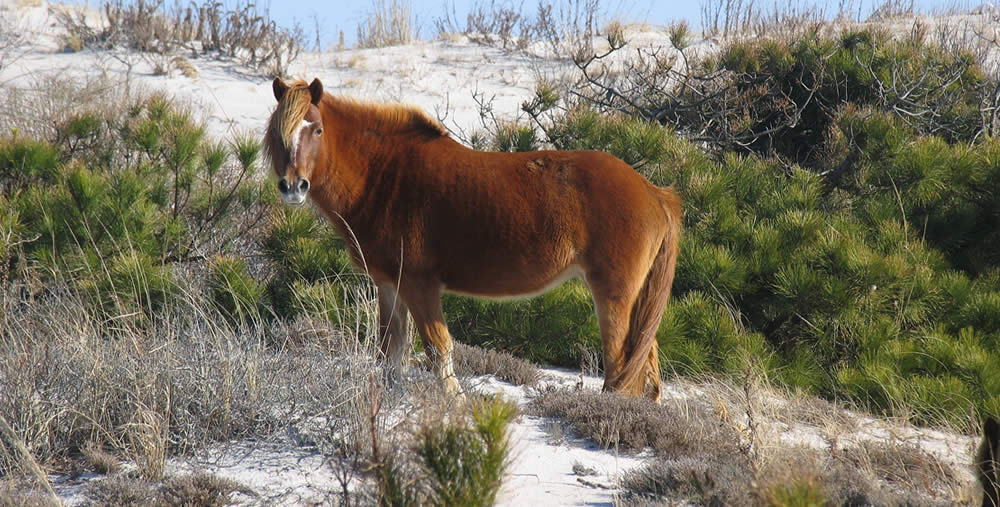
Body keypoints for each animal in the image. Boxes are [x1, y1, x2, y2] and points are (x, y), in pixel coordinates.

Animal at [262, 77, 684, 398]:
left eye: (317, 129)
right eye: (279, 135)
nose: (293, 187)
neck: (384, 175)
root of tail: (655, 192)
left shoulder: (419, 284)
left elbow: (438, 348)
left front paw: (455, 405)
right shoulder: (390, 285)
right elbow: (389, 354)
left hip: (614, 295)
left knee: (621, 366)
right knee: (647, 363)